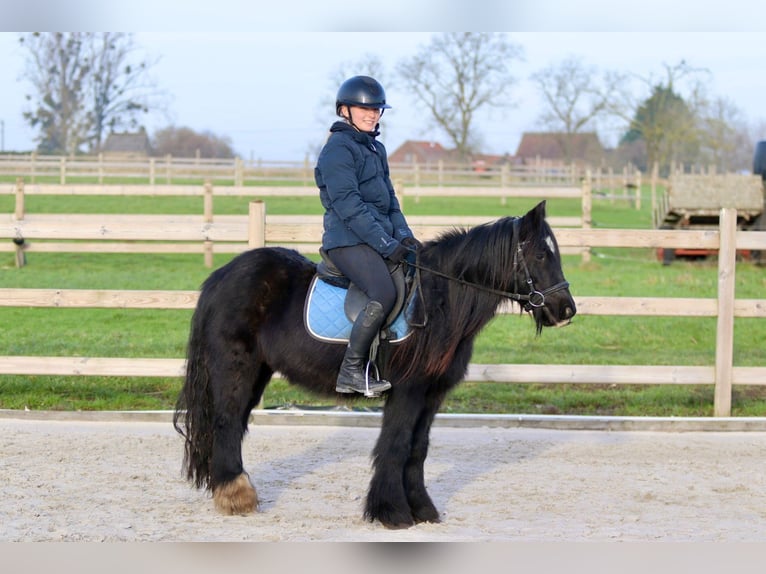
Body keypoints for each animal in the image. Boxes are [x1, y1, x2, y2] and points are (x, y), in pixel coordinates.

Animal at [174, 202, 580, 532]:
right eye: (540, 255)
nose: (566, 310)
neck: (439, 301)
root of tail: (221, 276)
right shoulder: (407, 391)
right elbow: (396, 445)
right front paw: (392, 513)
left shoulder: (432, 395)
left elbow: (418, 448)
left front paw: (422, 510)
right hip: (234, 367)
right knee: (226, 422)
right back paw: (235, 496)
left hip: (257, 371)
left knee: (235, 424)